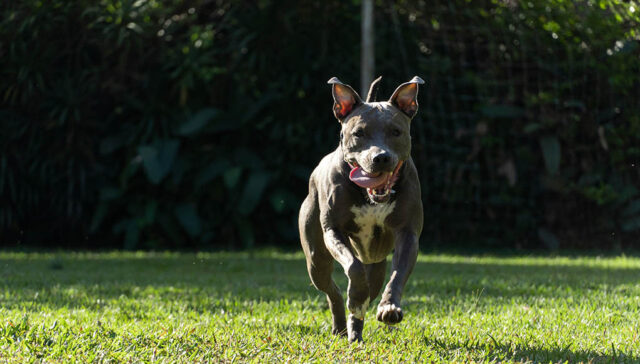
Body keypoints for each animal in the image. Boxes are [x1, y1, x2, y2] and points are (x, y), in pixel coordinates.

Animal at [300, 74, 424, 342]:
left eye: (396, 131)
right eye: (358, 133)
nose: (381, 157)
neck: (370, 197)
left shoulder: (408, 234)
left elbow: (398, 275)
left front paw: (389, 307)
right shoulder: (333, 231)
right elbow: (353, 268)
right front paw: (355, 296)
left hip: (376, 262)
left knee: (372, 286)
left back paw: (355, 331)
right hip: (316, 259)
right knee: (333, 289)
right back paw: (343, 324)